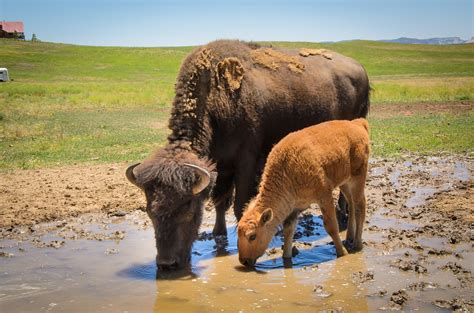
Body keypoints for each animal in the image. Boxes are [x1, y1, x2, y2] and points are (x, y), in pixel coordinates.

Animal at [239, 117, 368, 266]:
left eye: (252, 236)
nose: (244, 261)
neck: (286, 170)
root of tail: (358, 123)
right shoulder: (294, 207)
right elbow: (288, 230)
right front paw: (286, 258)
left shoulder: (324, 196)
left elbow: (331, 226)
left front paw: (342, 253)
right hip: (345, 183)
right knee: (351, 204)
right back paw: (349, 238)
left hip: (358, 178)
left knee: (360, 205)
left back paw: (357, 245)